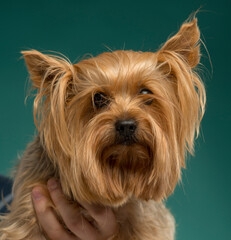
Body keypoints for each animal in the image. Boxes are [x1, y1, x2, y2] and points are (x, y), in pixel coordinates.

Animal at [0, 17, 206, 240]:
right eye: (98, 98)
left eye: (145, 92)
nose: (126, 125)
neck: (120, 170)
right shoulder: (26, 211)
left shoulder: (148, 224)